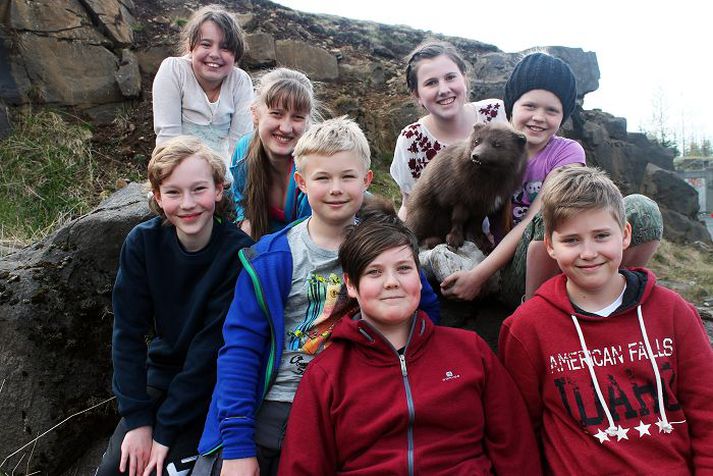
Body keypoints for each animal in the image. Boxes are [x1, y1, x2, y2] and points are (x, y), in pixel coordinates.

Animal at [404, 121, 524, 251]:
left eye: (497, 144)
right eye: (477, 141)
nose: (476, 156)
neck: (487, 180)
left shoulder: (484, 205)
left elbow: (476, 224)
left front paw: (480, 241)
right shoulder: (460, 198)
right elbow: (458, 219)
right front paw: (454, 239)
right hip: (424, 213)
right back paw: (430, 240)